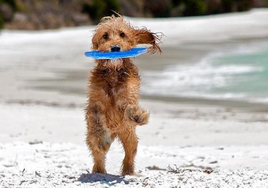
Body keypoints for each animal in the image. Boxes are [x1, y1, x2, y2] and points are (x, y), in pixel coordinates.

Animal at [86, 15, 161, 176]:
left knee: (130, 153)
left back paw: (129, 171)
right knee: (98, 154)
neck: (113, 73)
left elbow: (129, 107)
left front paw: (137, 115)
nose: (115, 48)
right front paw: (101, 140)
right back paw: (99, 170)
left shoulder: (128, 96)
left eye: (122, 34)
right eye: (105, 35)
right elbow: (97, 123)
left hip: (128, 135)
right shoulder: (95, 104)